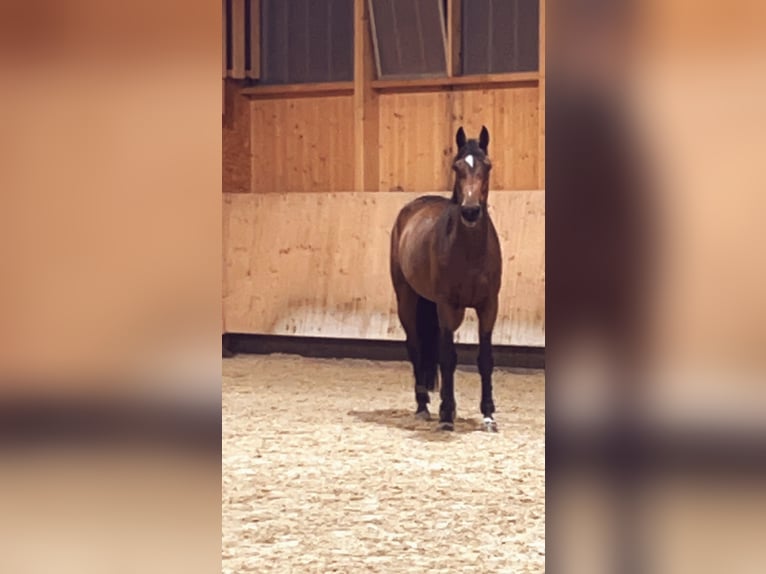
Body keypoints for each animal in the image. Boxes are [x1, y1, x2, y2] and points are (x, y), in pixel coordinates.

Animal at [390, 126, 502, 432]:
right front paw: (446, 414)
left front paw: (488, 415)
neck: (470, 252)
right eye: (457, 166)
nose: (471, 211)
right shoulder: (448, 306)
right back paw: (422, 406)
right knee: (415, 346)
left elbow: (485, 359)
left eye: (487, 165)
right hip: (407, 299)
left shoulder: (488, 306)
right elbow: (449, 357)